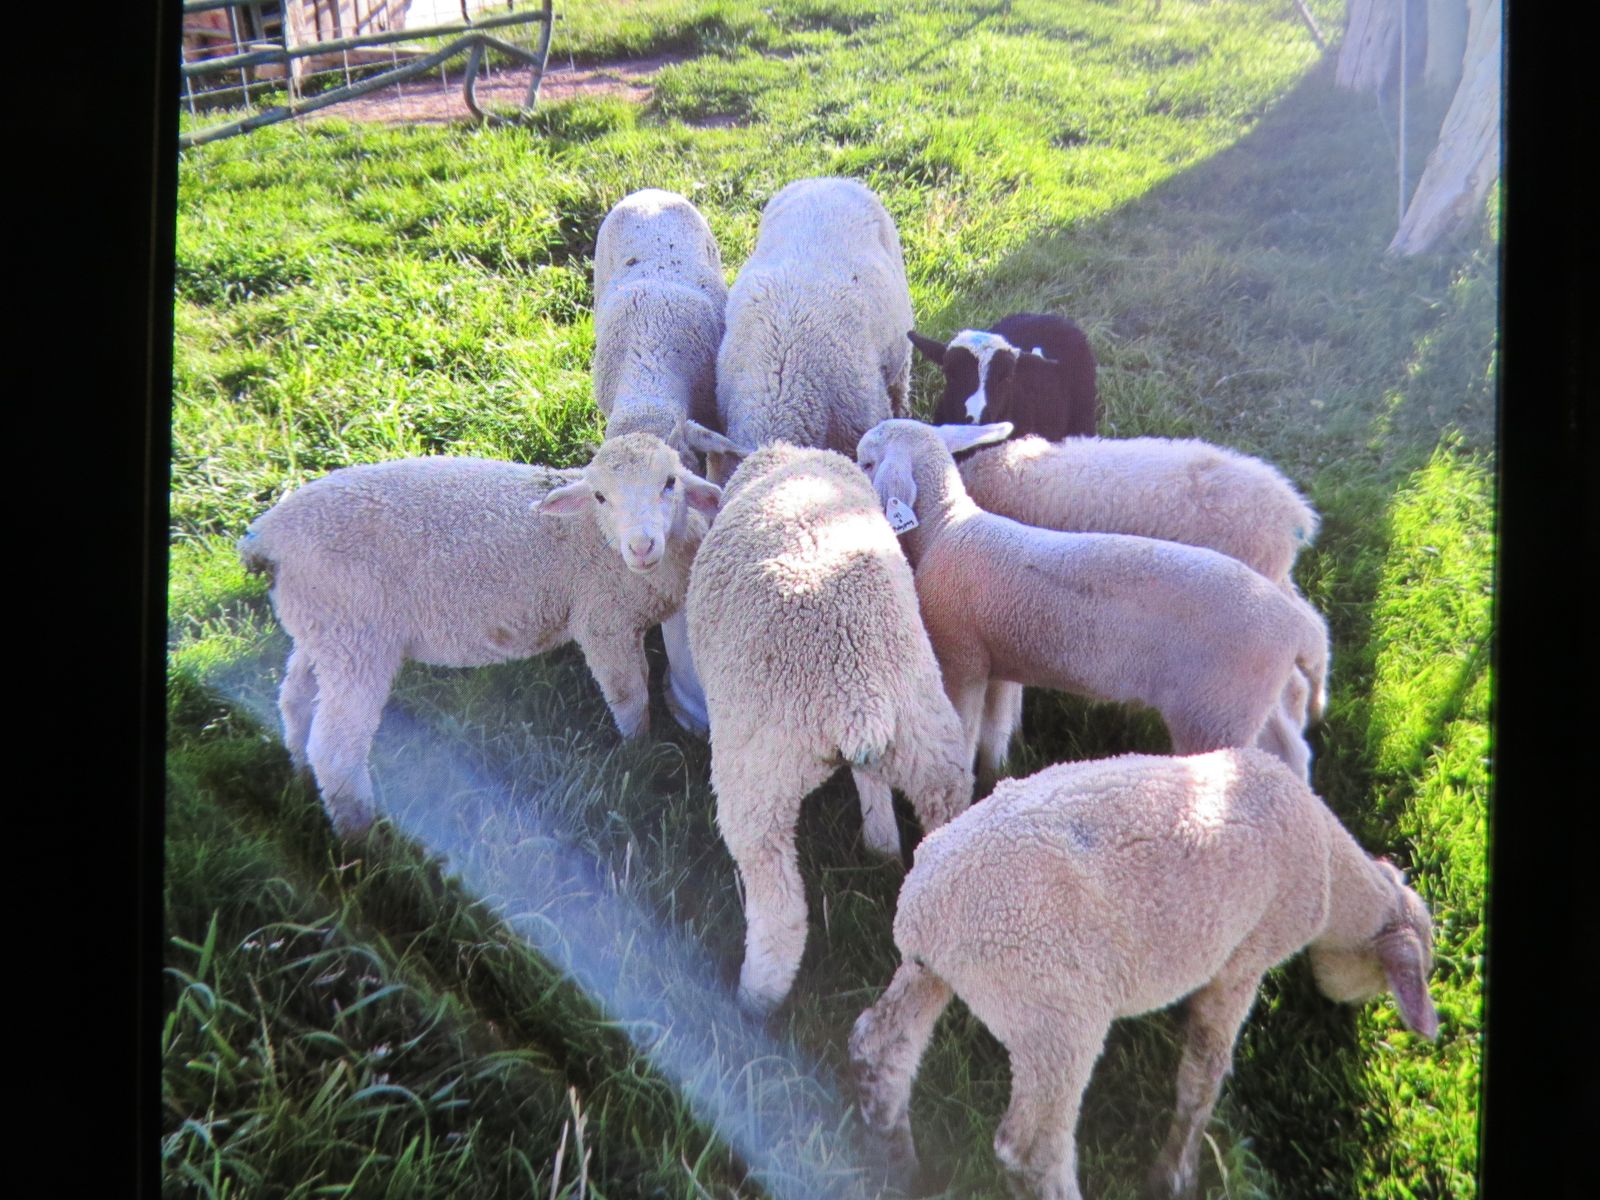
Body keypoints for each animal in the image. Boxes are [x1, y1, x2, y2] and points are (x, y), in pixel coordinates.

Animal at [238, 433, 721, 836]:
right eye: (601, 496)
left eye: (670, 483)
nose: (641, 547)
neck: (595, 537)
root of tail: (267, 536)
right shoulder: (603, 618)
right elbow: (629, 695)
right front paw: (638, 752)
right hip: (356, 634)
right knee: (335, 750)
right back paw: (360, 835)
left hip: (321, 627)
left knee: (295, 697)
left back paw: (299, 769)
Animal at [849, 747, 1438, 1200]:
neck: (1335, 879)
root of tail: (926, 906)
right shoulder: (1245, 958)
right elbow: (1204, 1073)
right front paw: (1176, 1174)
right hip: (1054, 1011)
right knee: (1032, 1148)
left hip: (935, 972)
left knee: (881, 1048)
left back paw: (901, 1168)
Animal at [854, 419, 1329, 782]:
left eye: (866, 462)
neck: (947, 526)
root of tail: (1297, 631)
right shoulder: (999, 659)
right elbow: (995, 729)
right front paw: (995, 773)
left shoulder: (962, 660)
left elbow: (966, 734)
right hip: (1249, 702)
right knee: (1287, 748)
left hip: (1215, 716)